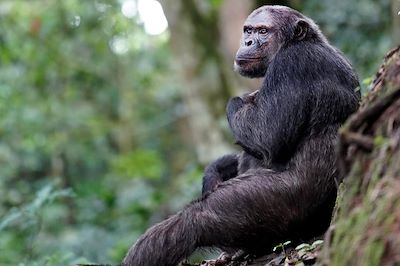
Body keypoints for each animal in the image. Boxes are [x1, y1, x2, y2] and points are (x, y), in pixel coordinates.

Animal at [121, 4, 360, 266]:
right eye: (248, 30)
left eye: (263, 31)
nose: (247, 41)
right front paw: (216, 169)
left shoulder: (293, 64)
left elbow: (266, 134)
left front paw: (244, 99)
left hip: (279, 205)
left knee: (197, 218)